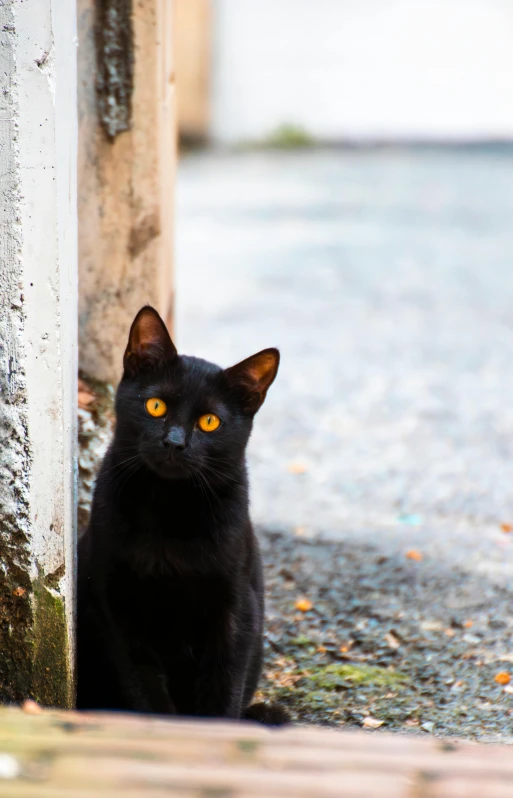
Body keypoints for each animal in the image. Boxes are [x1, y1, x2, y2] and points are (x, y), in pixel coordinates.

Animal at [77, 306, 280, 724]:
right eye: (156, 406)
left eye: (209, 422)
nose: (174, 442)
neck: (167, 509)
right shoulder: (114, 611)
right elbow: (144, 691)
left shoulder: (236, 611)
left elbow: (223, 690)